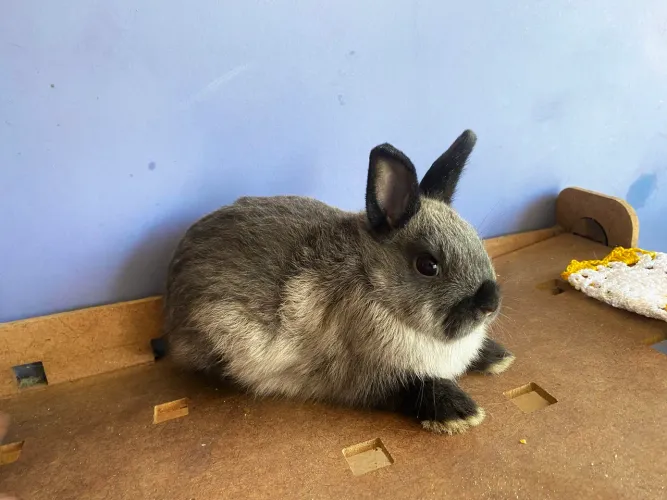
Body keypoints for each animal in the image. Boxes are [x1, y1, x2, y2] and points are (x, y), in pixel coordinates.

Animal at [163, 129, 515, 435]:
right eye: (428, 265)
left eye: (476, 239)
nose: (490, 303)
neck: (374, 286)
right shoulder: (368, 378)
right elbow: (415, 387)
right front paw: (462, 412)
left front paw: (499, 358)